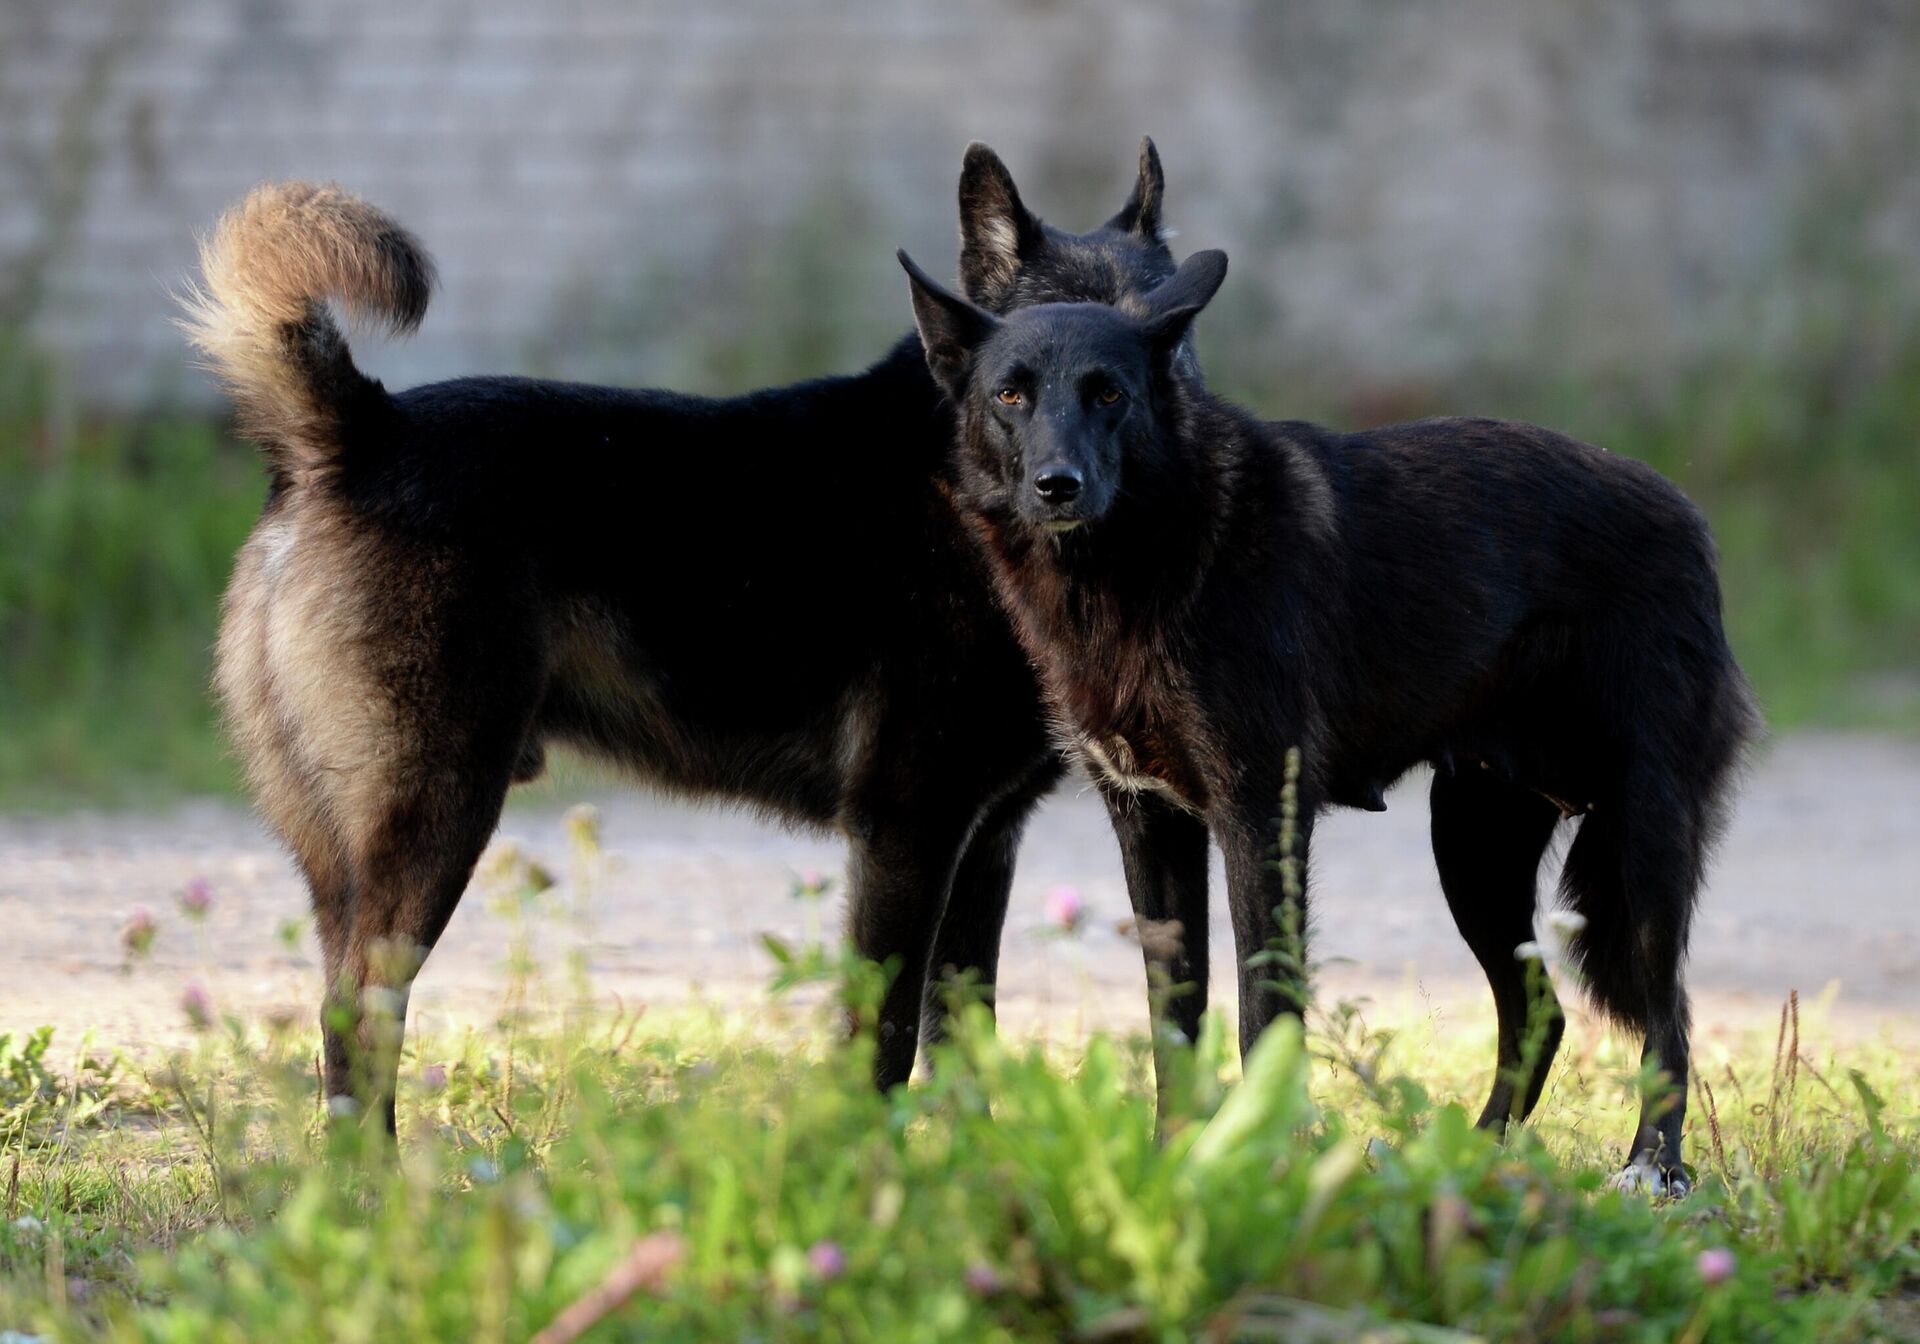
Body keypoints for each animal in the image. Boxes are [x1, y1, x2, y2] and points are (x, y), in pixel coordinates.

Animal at [191, 142, 1182, 1128]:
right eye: (1034, 378)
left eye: (1167, 343)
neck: (960, 477)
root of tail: (358, 430)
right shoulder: (908, 830)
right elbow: (883, 1040)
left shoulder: (984, 841)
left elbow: (962, 1045)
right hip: (435, 820)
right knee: (360, 1020)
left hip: (348, 863)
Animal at [898, 247, 1758, 1190]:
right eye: (1011, 394)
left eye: (1109, 393)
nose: (1059, 486)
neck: (1143, 563)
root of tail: (1686, 515)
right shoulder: (1151, 822)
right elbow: (1173, 1023)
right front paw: (1175, 1164)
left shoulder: (1258, 819)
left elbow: (1263, 1014)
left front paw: (1259, 1164)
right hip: (1474, 857)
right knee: (1542, 1014)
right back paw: (1470, 1159)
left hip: (1641, 842)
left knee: (1669, 1018)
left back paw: (1653, 1169)